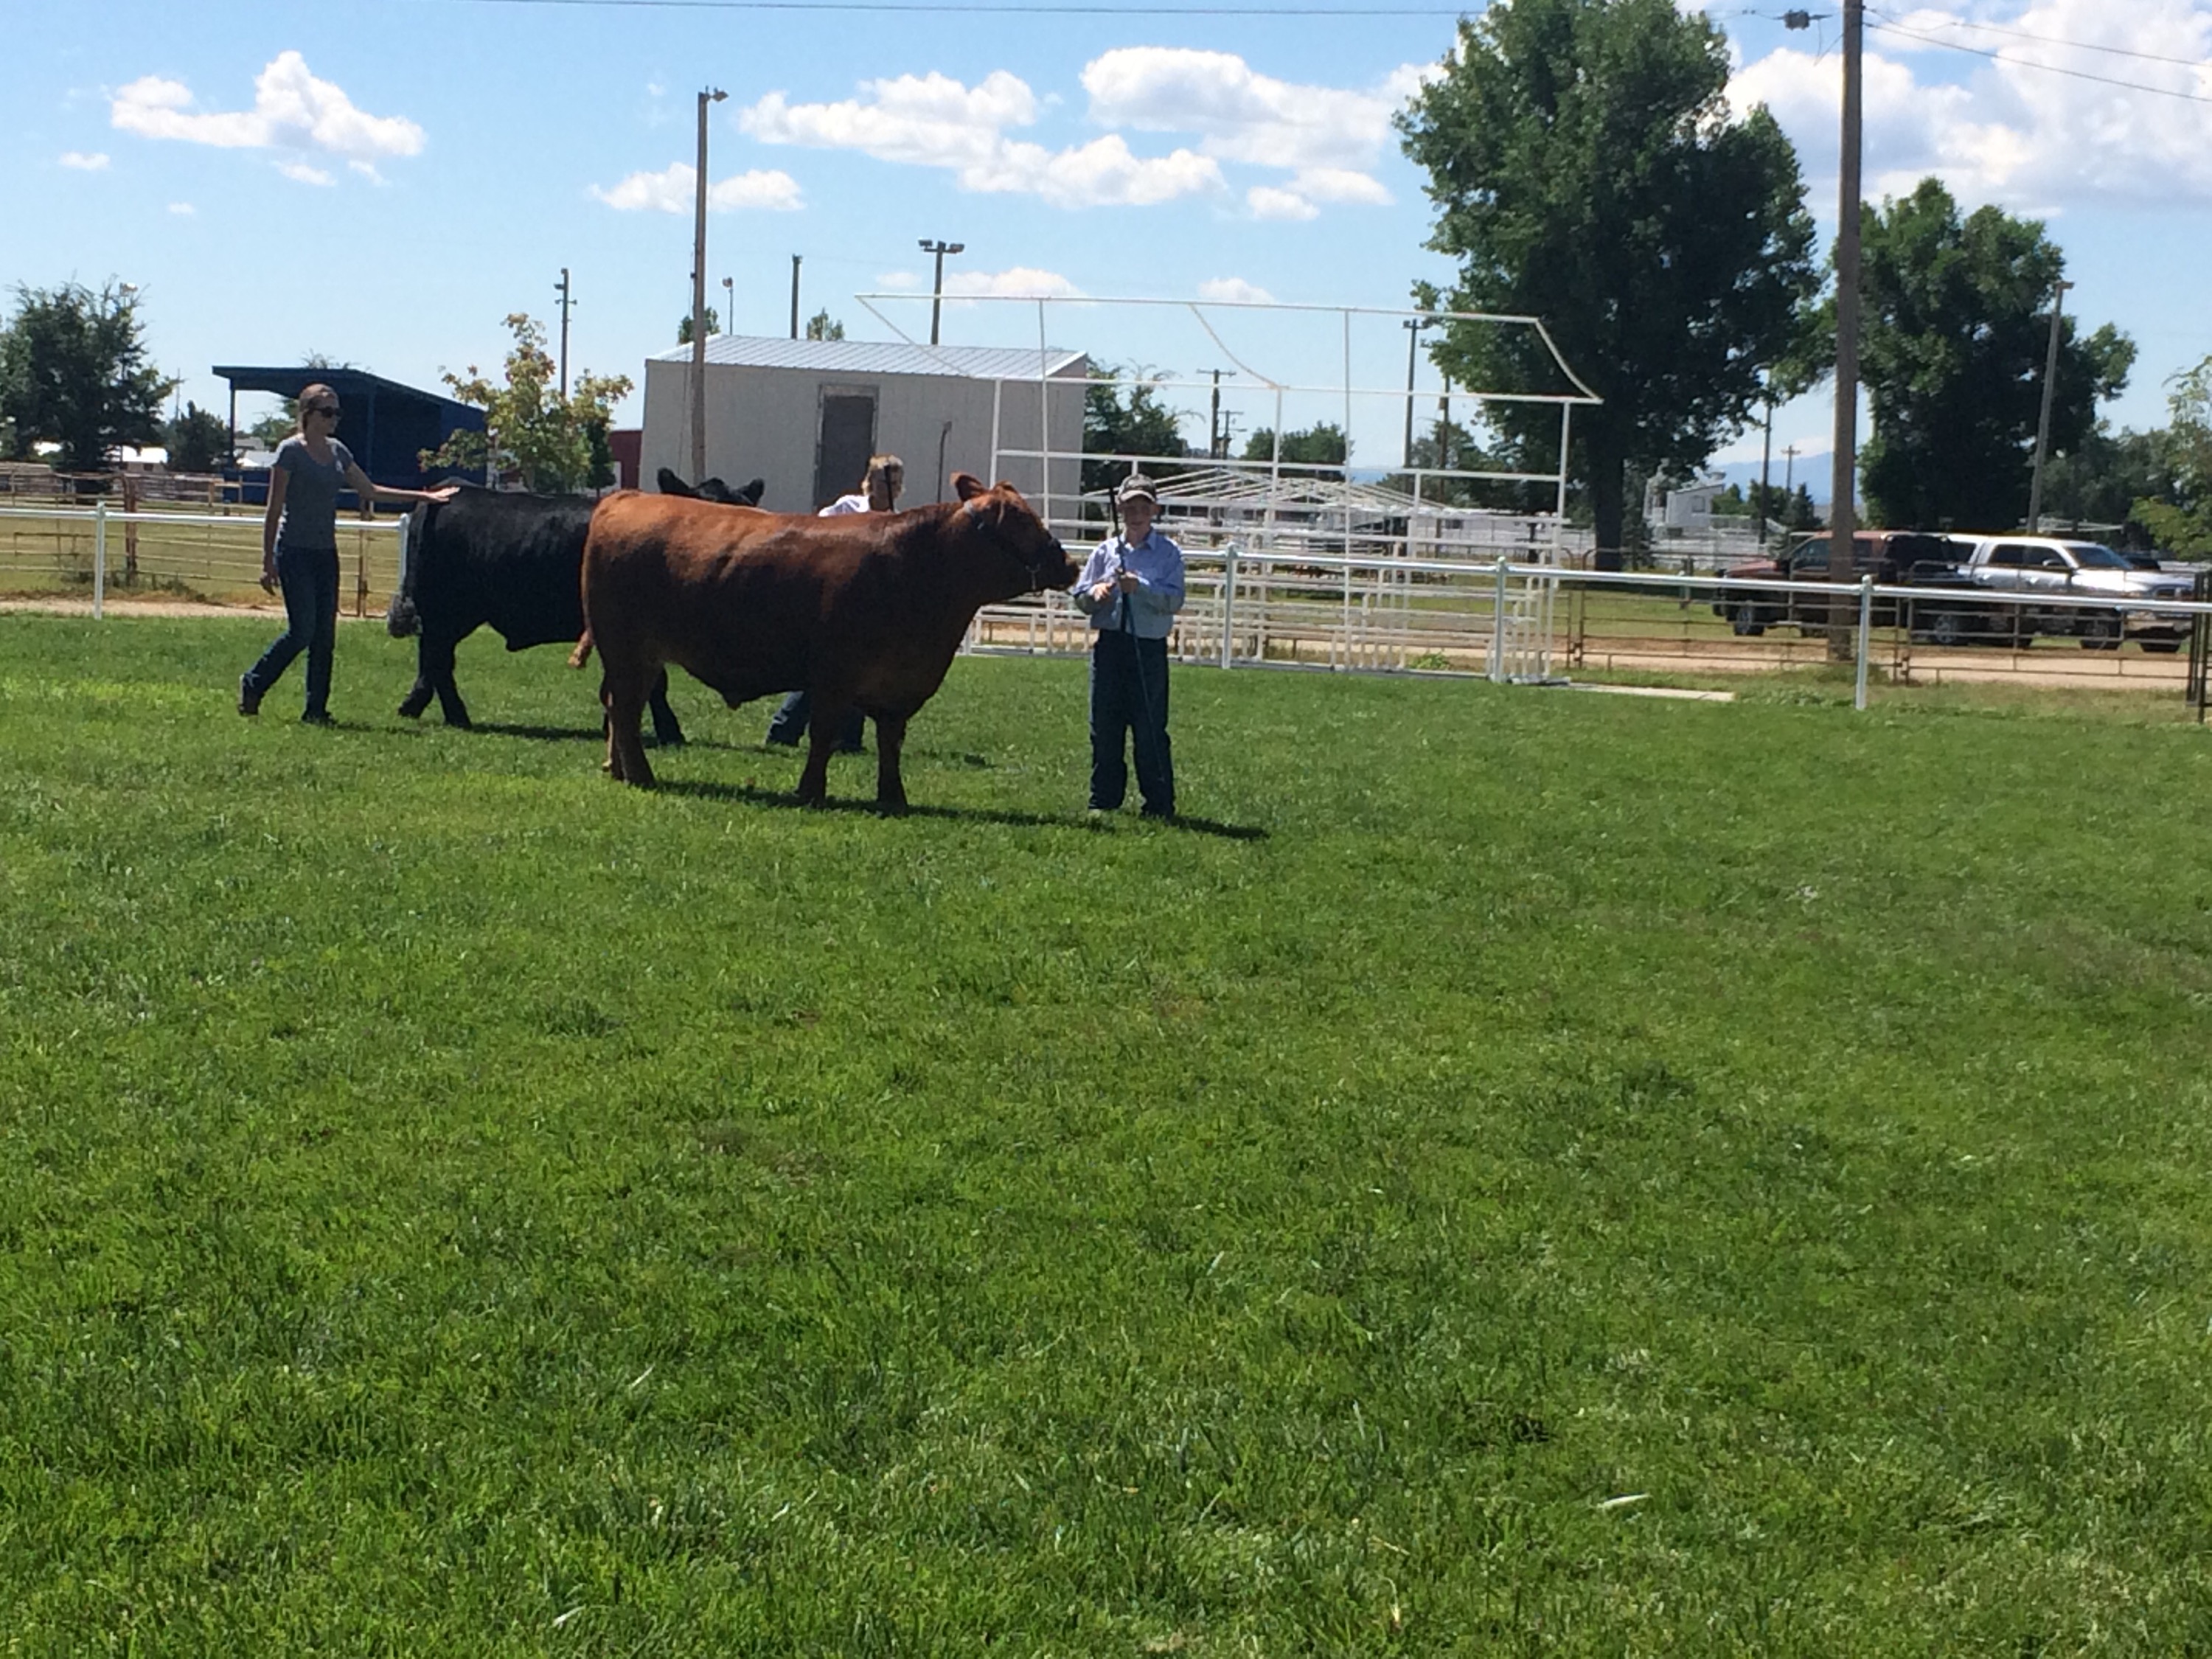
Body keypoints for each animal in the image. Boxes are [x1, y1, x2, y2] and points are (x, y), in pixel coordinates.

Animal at [387, 474, 757, 739]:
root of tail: (451, 490)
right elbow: (655, 682)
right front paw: (669, 732)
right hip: (446, 612)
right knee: (438, 662)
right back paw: (453, 715)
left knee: (434, 660)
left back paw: (422, 708)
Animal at [572, 473, 1078, 809]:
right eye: (1024, 524)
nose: (1071, 564)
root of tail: (628, 498)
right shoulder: (835, 677)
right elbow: (823, 736)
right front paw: (811, 792)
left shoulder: (898, 687)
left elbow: (890, 743)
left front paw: (893, 799)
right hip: (628, 650)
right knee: (626, 710)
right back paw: (641, 776)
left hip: (635, 657)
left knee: (620, 707)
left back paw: (620, 771)